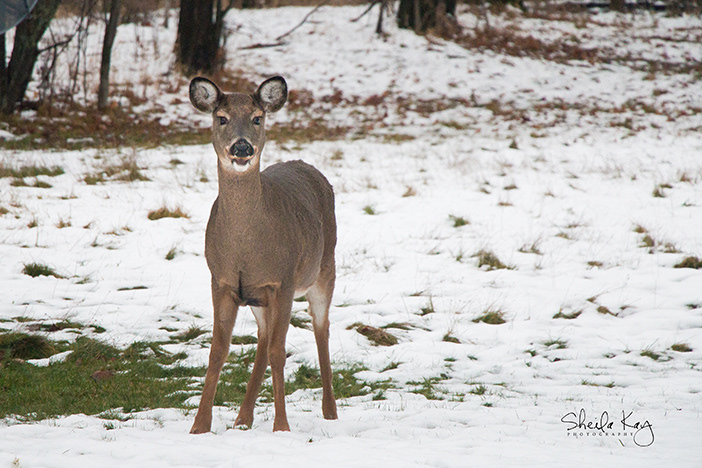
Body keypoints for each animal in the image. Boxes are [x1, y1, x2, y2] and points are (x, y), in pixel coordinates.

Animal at [188, 75, 338, 433]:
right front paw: (199, 426)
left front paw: (281, 426)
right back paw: (243, 417)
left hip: (325, 268)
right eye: (221, 117)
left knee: (321, 329)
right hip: (257, 297)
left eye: (258, 117)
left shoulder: (283, 281)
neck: (246, 244)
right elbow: (217, 351)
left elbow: (279, 352)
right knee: (263, 335)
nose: (241, 147)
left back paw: (330, 412)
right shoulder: (221, 281)